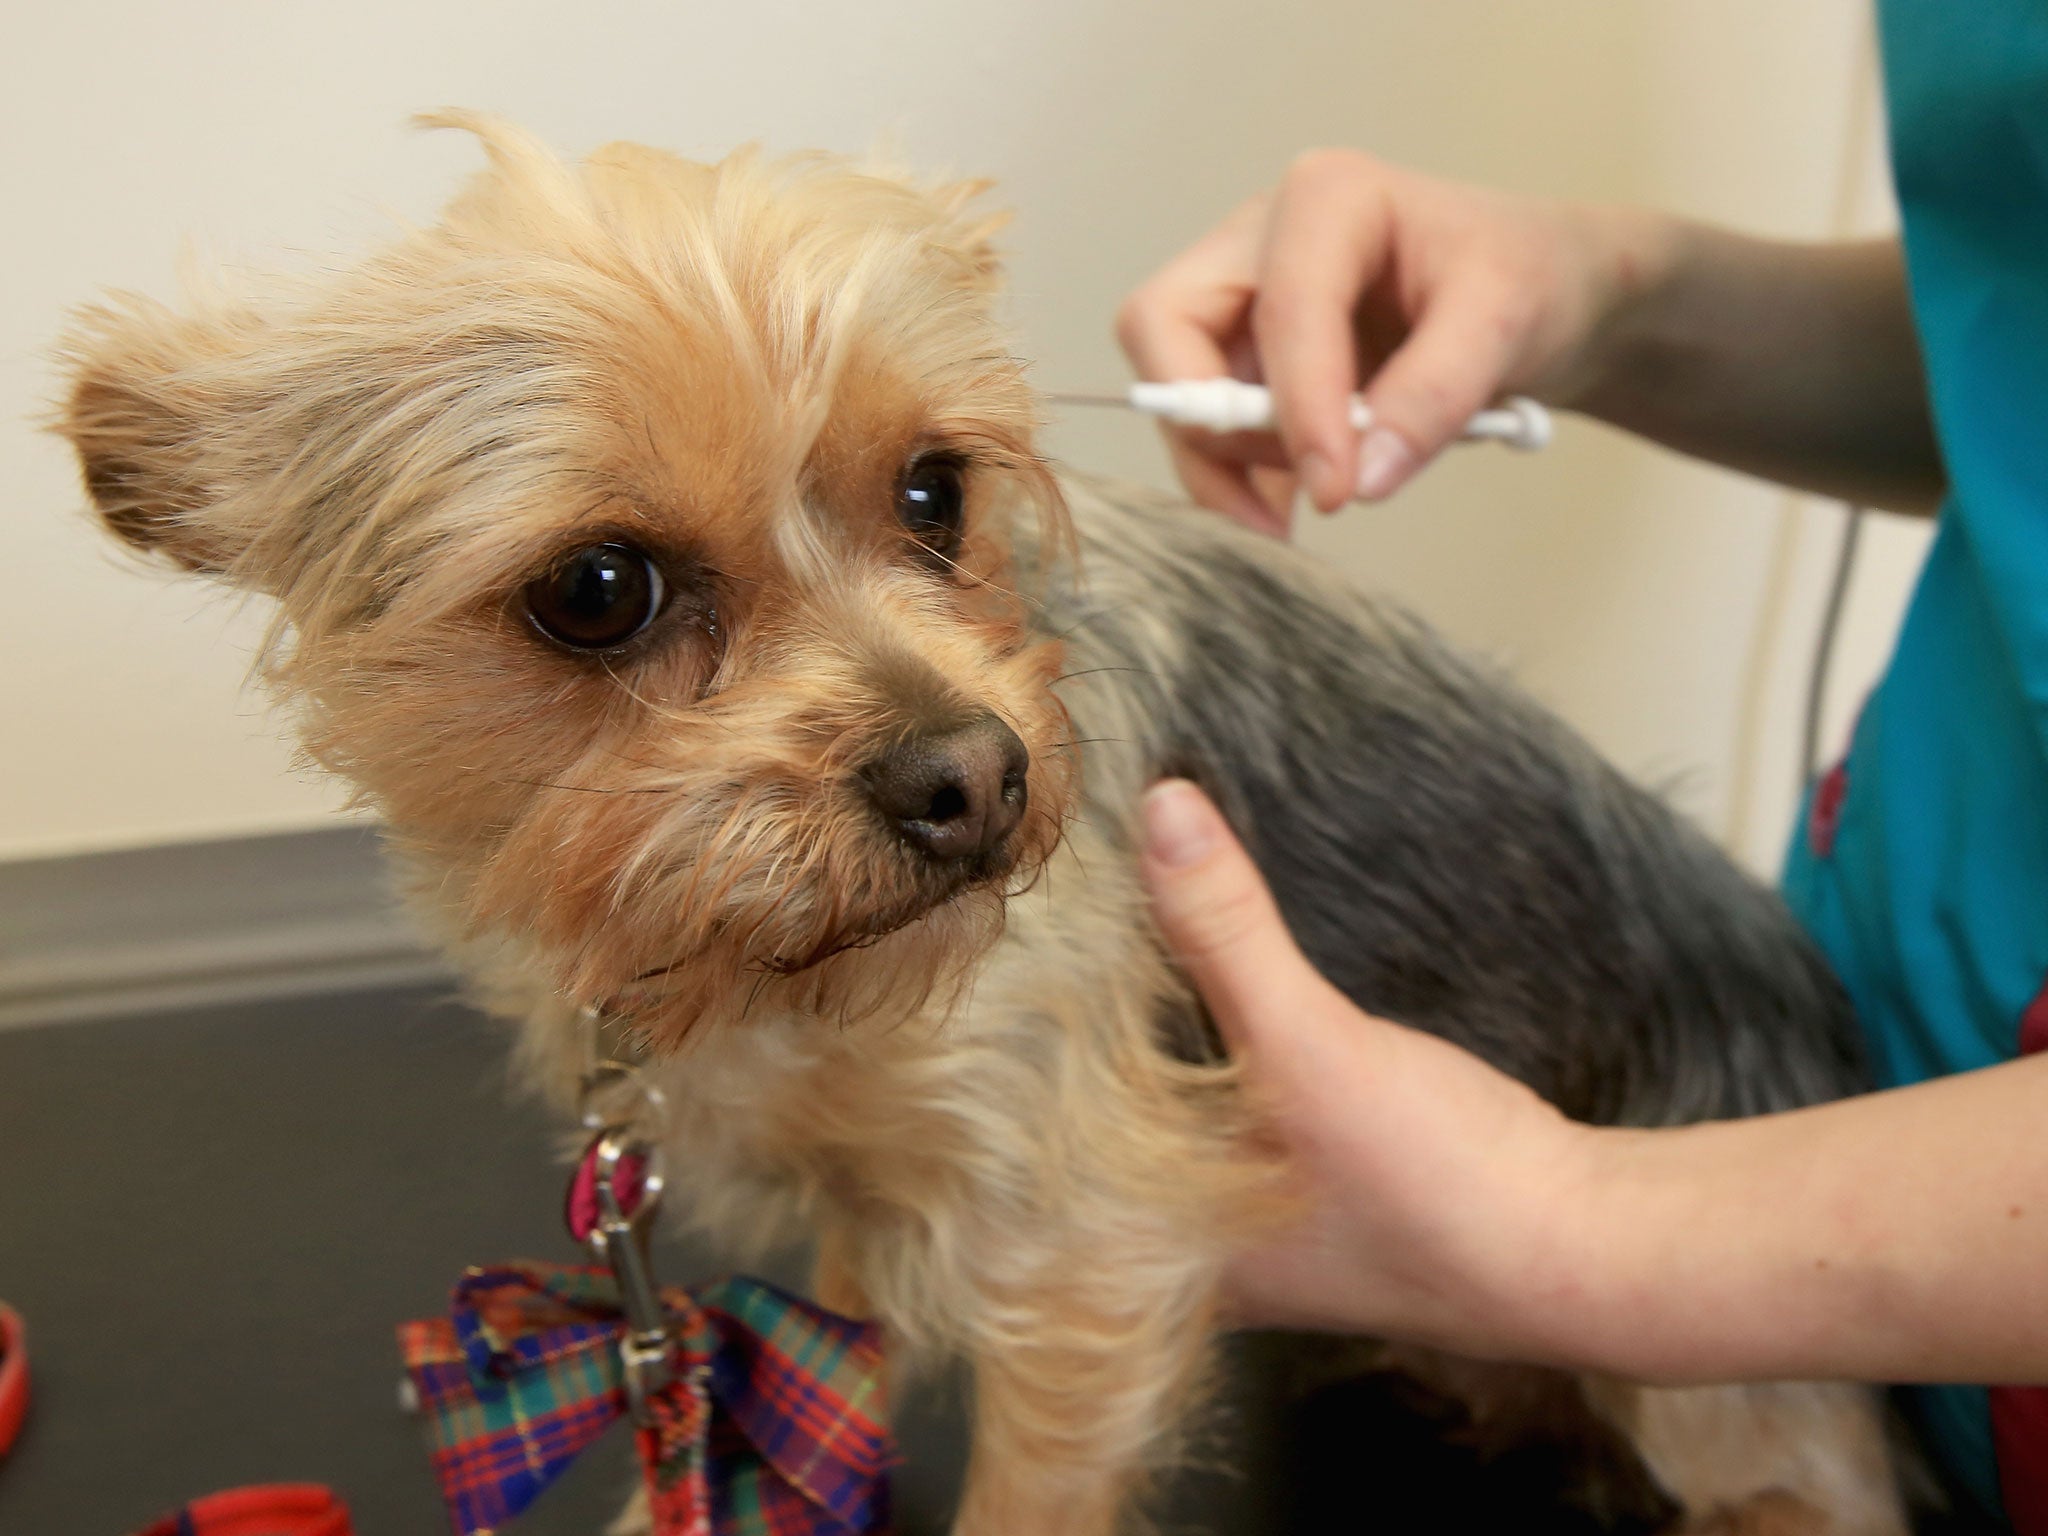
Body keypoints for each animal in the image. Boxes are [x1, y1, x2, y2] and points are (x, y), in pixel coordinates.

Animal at [59, 114, 1916, 1531]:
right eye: (596, 591)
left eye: (933, 491)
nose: (974, 777)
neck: (767, 981)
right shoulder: (842, 1230)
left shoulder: (1086, 1257)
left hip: (1728, 1379)